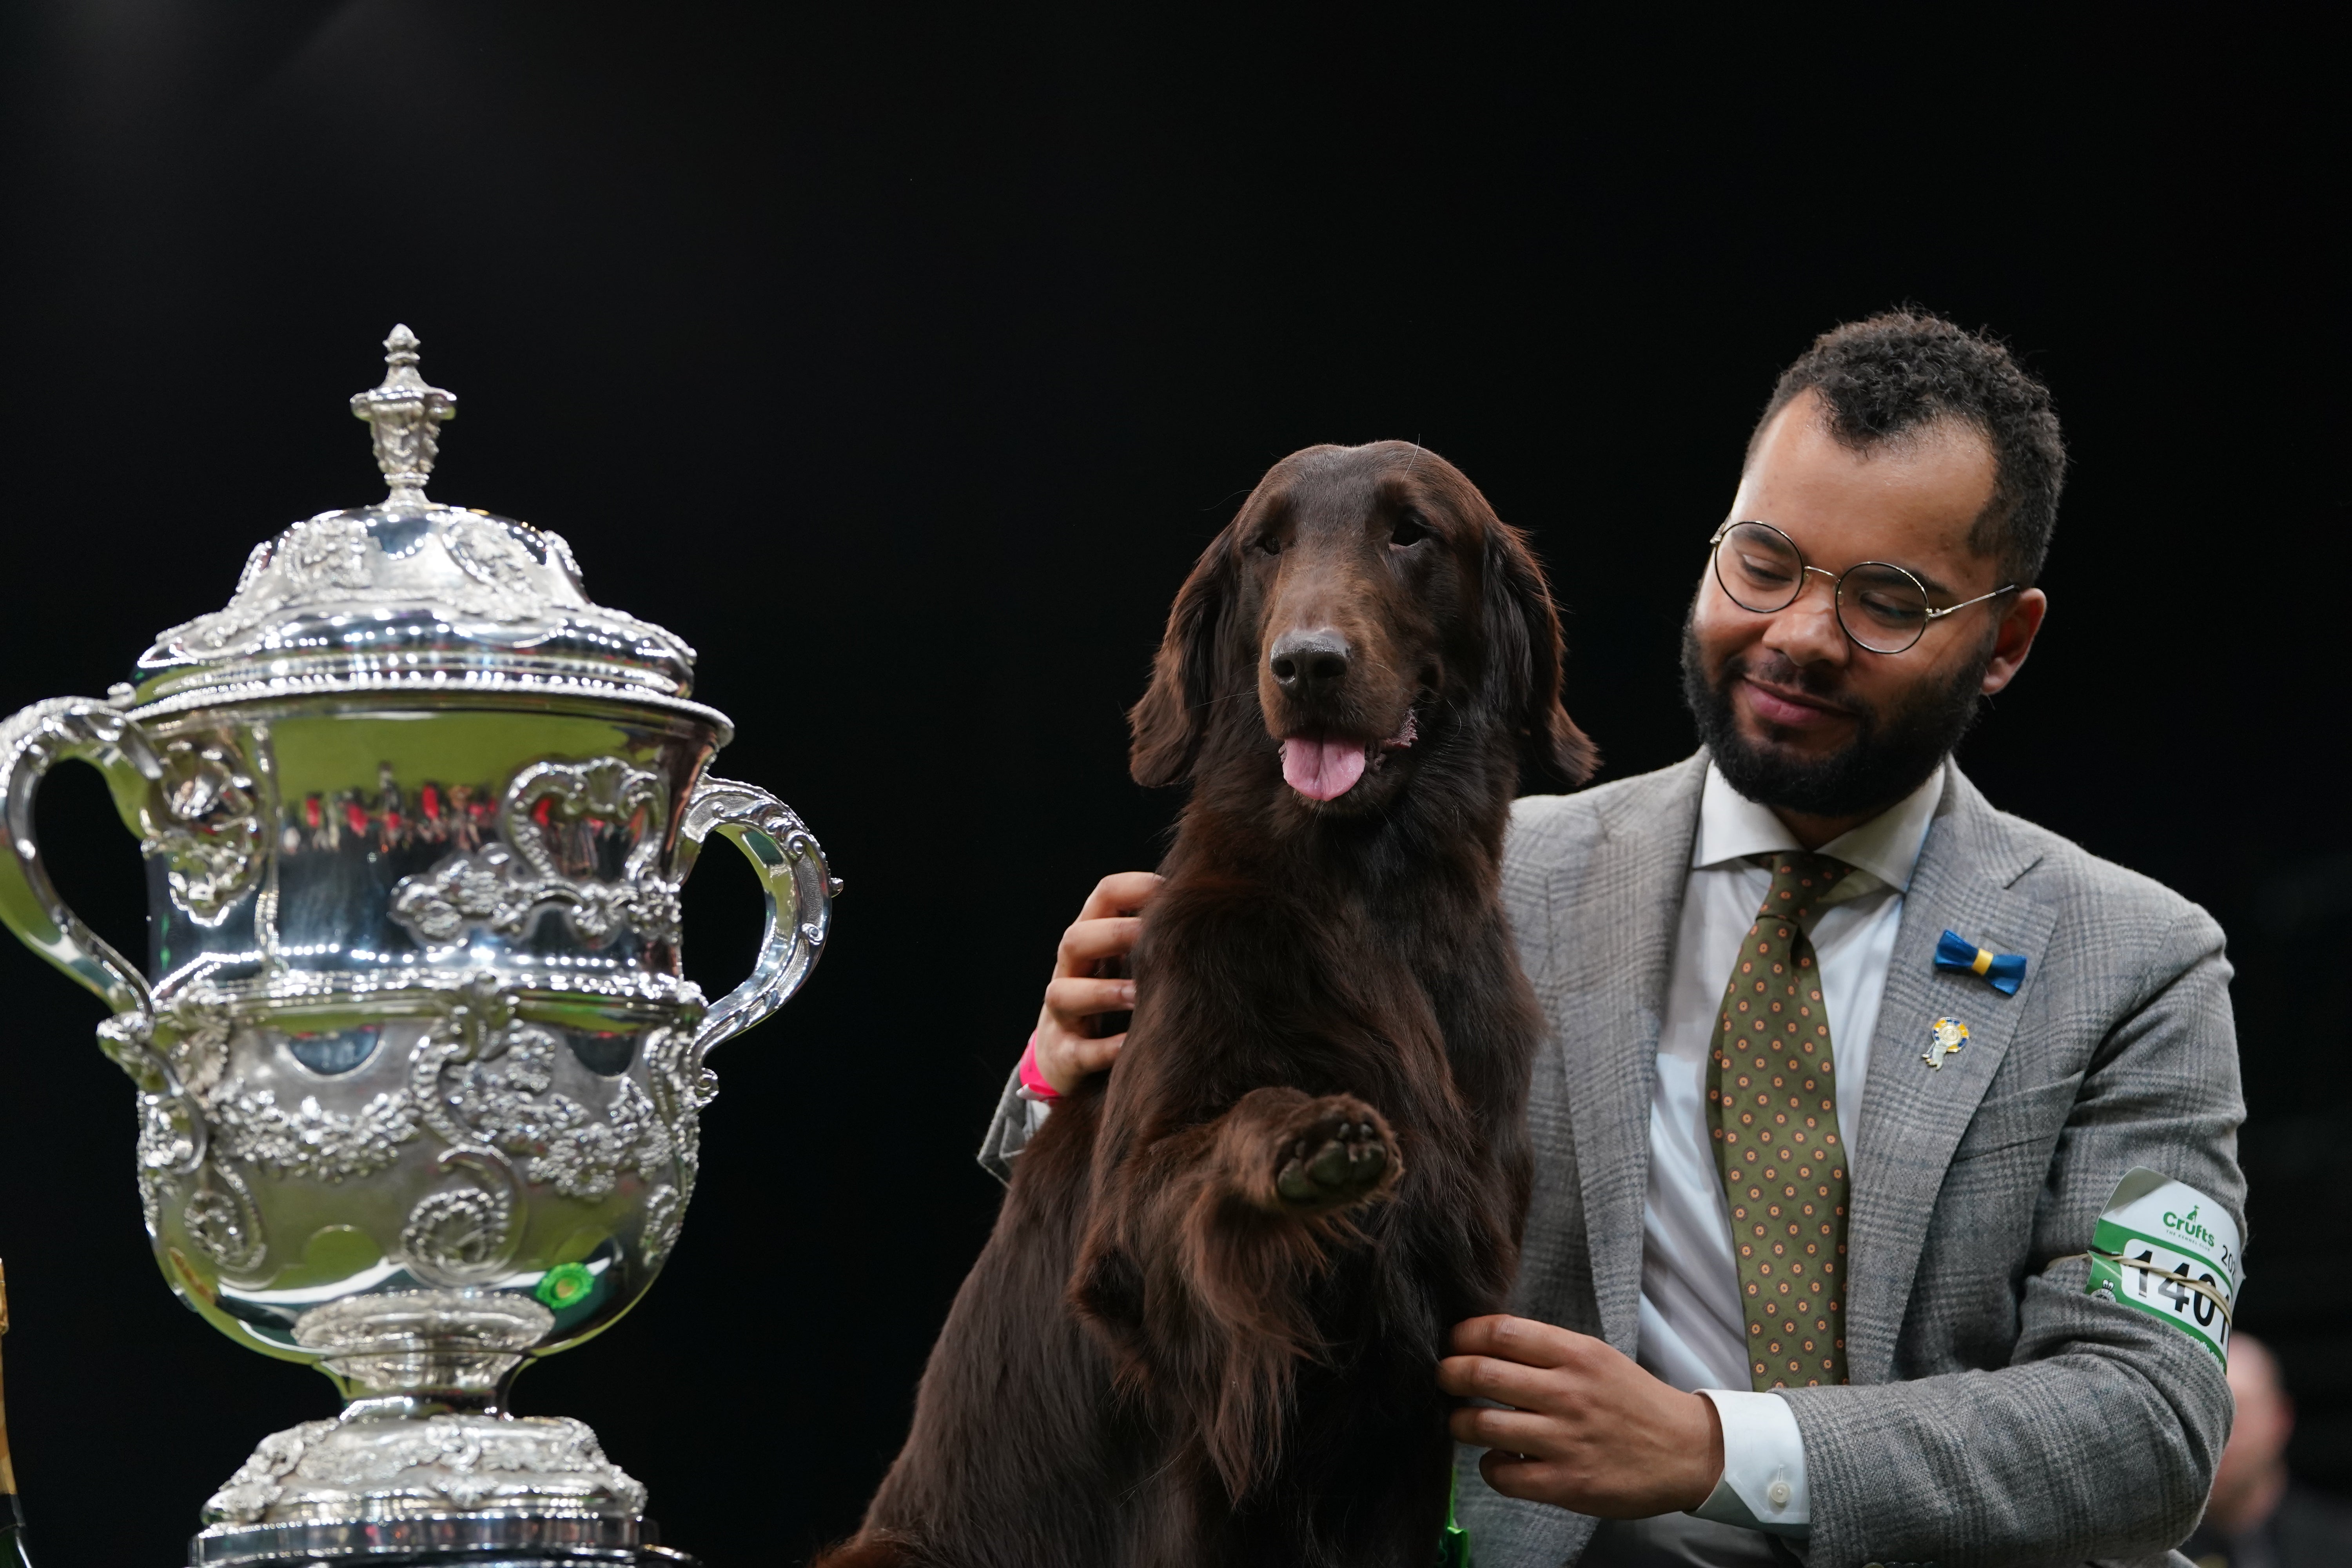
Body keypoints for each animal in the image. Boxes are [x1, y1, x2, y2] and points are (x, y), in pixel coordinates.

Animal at [818, 442, 1590, 1568]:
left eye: (1412, 534)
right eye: (1267, 544)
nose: (1307, 664)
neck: (1370, 899)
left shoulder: (1426, 1374)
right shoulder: (1157, 1292)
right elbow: (1207, 1160)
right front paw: (1306, 1147)